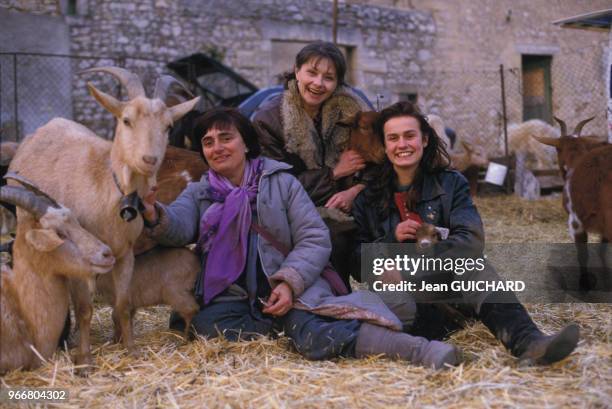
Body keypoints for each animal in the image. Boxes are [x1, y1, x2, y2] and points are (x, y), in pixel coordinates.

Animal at [7, 67, 198, 366]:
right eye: (126, 120)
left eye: (168, 126)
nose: (149, 160)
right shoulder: (79, 260)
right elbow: (85, 308)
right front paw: (84, 359)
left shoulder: (124, 255)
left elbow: (123, 304)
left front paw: (130, 348)